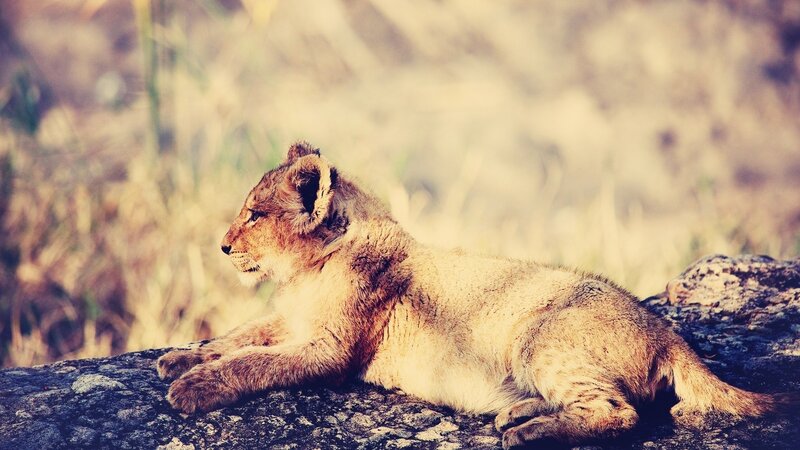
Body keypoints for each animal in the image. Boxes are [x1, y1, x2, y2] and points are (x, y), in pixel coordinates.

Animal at [157, 142, 787, 448]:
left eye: (254, 215)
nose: (221, 246)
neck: (308, 271)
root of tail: (669, 335)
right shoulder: (290, 321)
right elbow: (240, 336)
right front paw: (179, 357)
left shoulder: (330, 348)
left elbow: (255, 361)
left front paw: (192, 387)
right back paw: (518, 412)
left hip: (541, 336)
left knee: (620, 413)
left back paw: (528, 434)